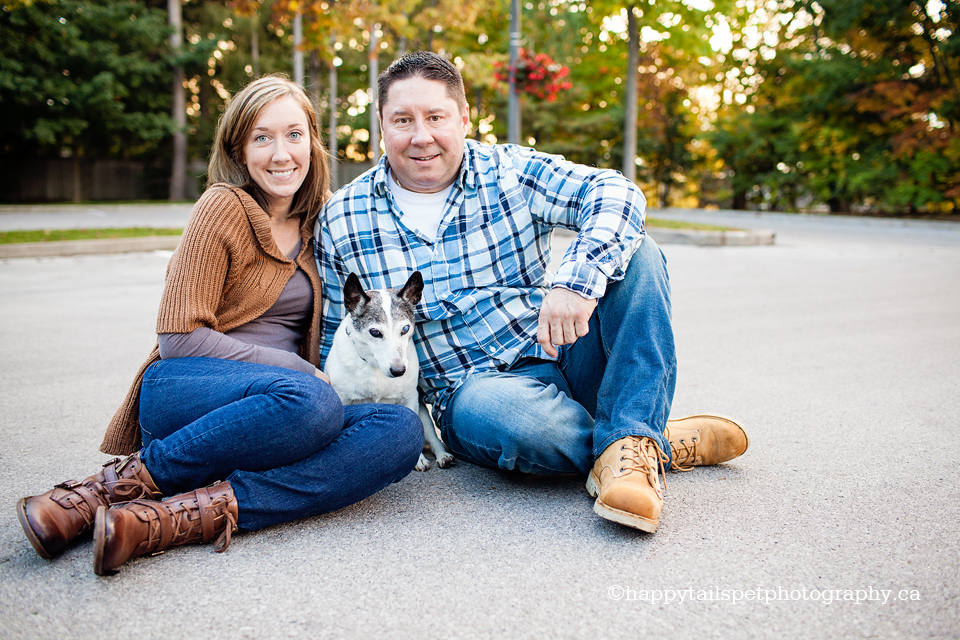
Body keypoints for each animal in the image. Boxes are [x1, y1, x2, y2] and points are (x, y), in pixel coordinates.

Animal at [324, 270, 456, 470]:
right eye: (375, 332)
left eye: (406, 328)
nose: (399, 371)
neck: (375, 366)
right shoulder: (343, 399)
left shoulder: (410, 399)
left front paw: (418, 459)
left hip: (423, 415)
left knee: (433, 440)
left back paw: (443, 456)